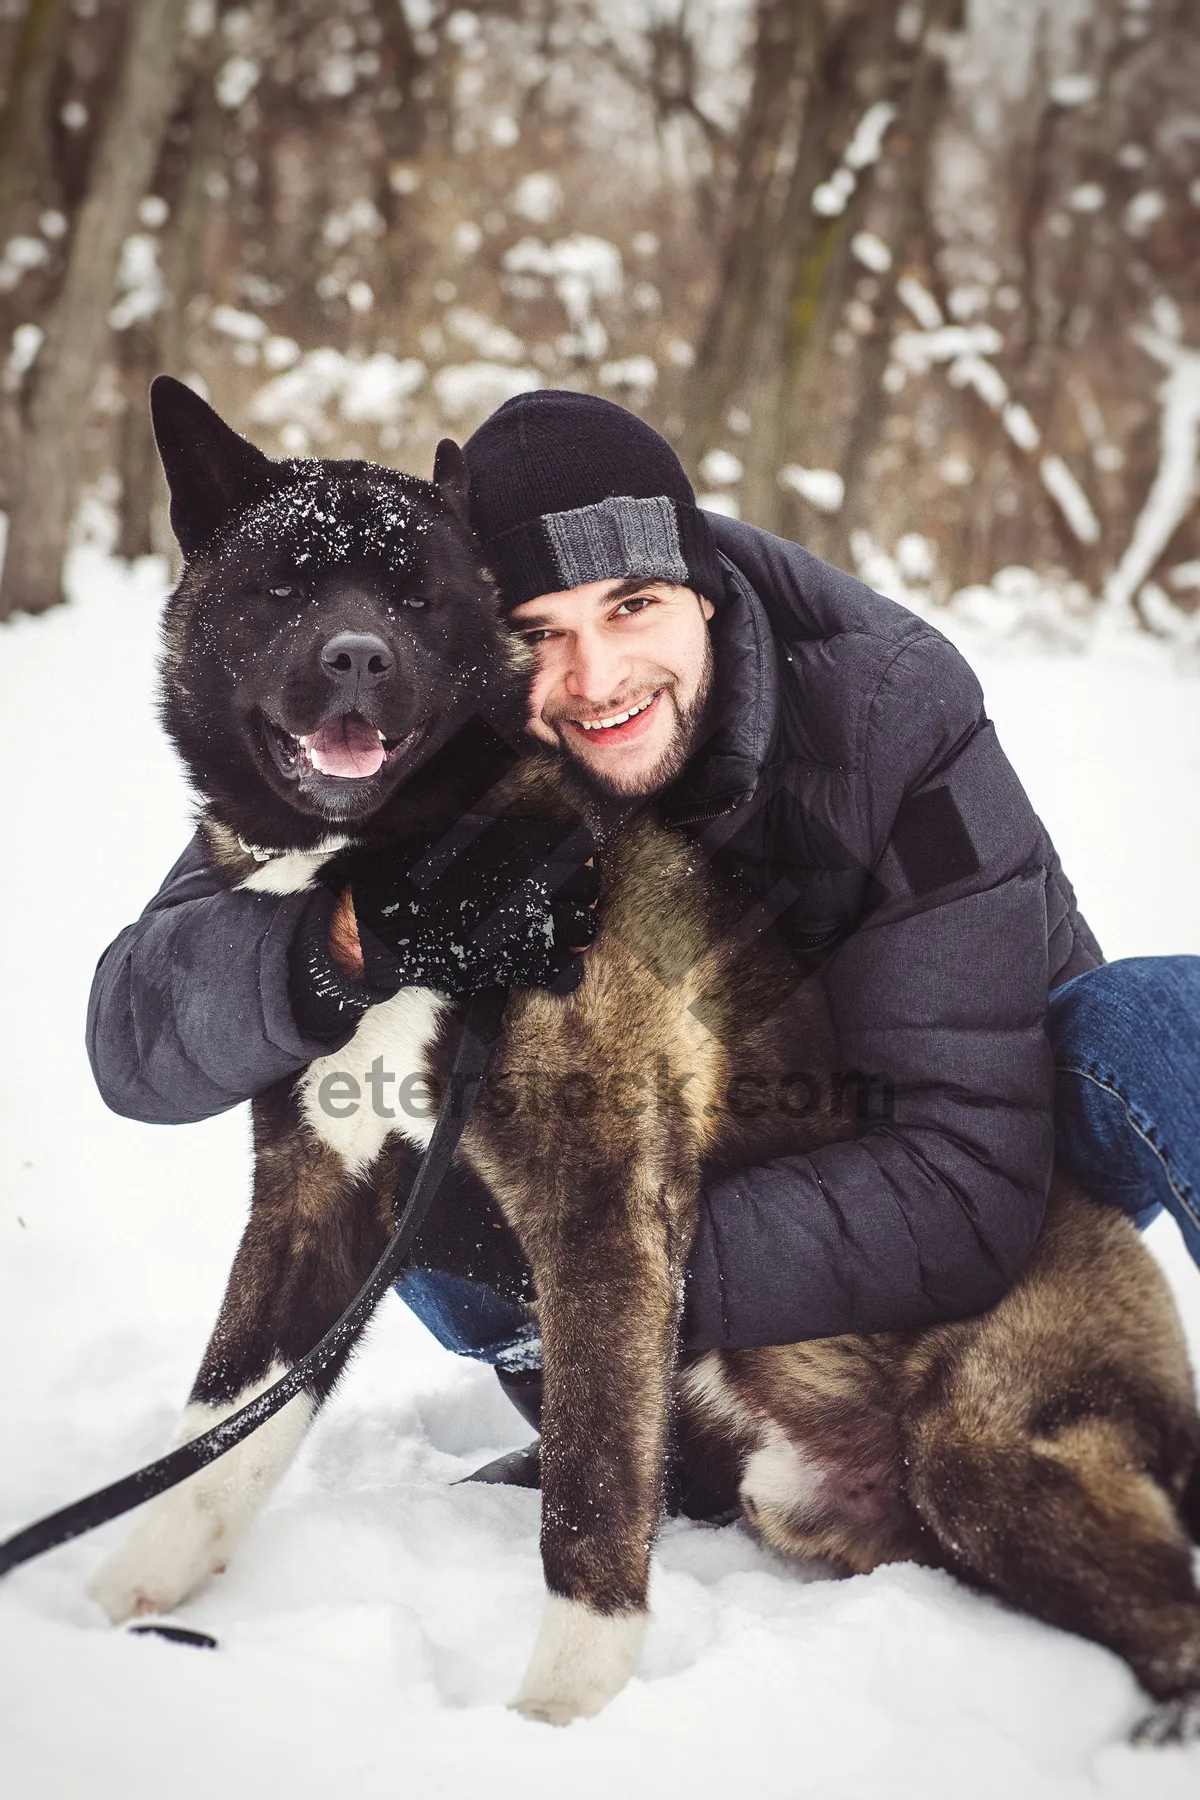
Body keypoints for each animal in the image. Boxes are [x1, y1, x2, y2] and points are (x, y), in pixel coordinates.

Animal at [86, 379, 1200, 1742]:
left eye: (418, 598)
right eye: (288, 586)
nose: (356, 657)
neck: (427, 874)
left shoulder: (597, 1214)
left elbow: (590, 1500)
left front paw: (555, 1721)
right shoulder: (316, 1193)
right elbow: (222, 1423)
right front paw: (125, 1594)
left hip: (984, 1450)